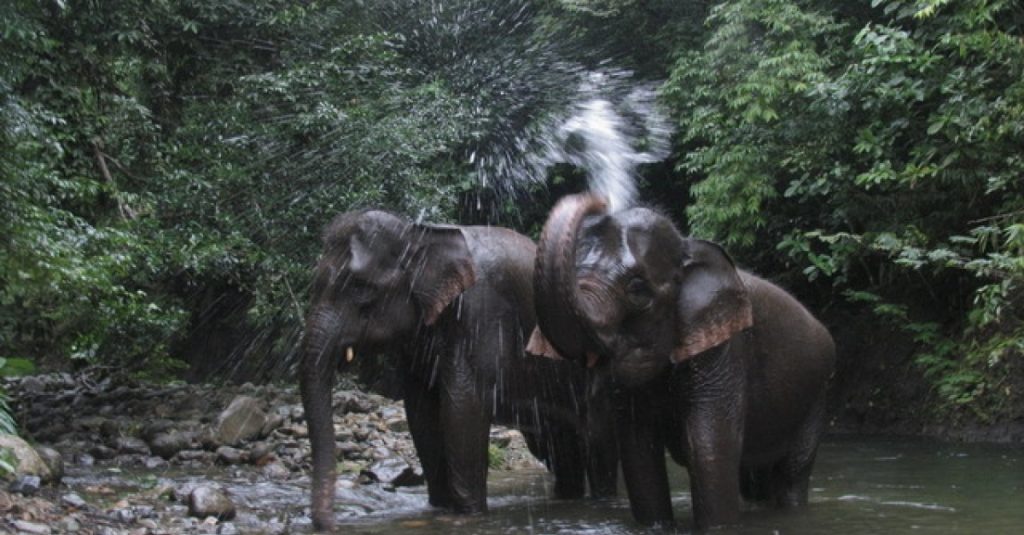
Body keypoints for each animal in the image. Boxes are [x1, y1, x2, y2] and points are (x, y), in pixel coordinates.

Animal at [296, 207, 614, 528]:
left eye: (361, 288)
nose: (331, 523)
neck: (421, 234)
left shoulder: (482, 313)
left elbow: (462, 407)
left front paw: (468, 515)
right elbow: (421, 411)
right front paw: (439, 509)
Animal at [532, 192, 835, 528]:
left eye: (637, 289)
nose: (601, 200)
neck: (688, 251)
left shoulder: (725, 347)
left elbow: (707, 446)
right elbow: (639, 451)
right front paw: (657, 527)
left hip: (817, 394)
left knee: (792, 473)